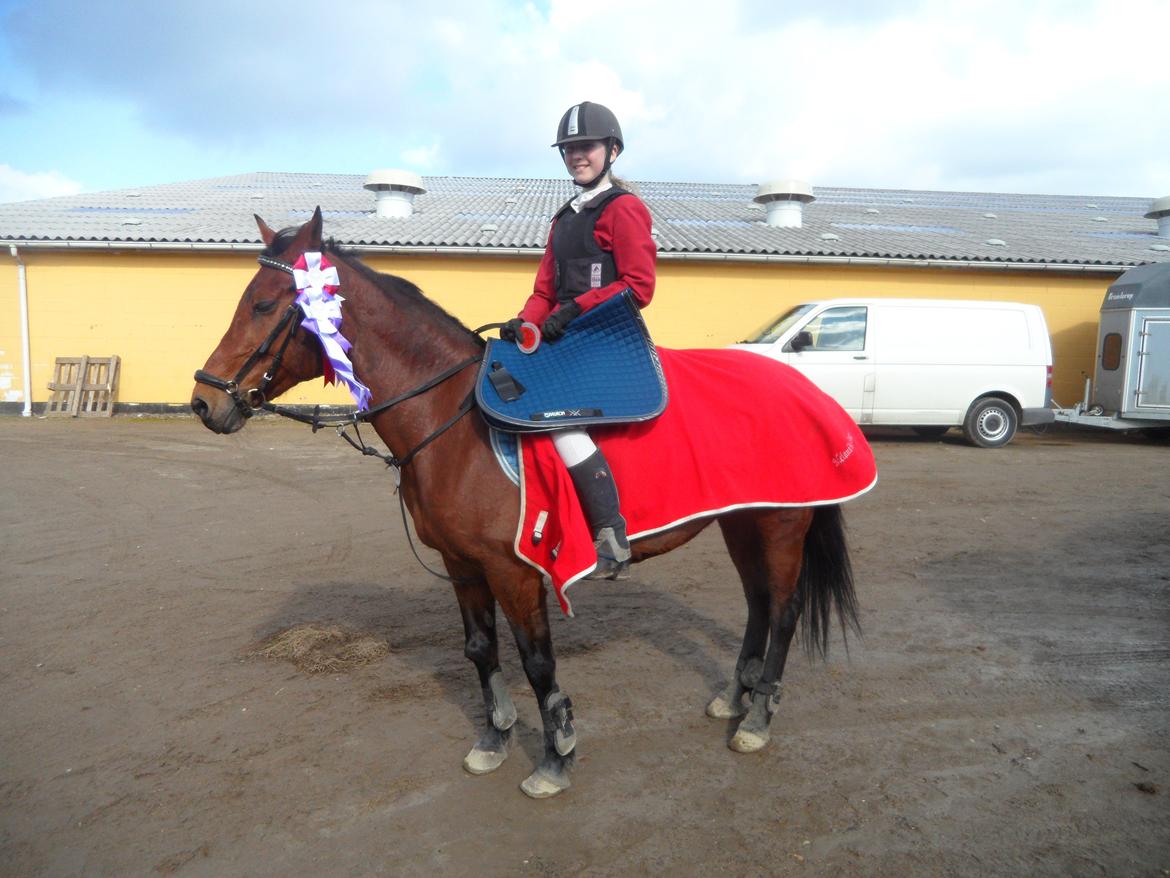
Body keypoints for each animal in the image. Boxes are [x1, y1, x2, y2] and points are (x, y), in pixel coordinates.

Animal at [191, 208, 862, 799]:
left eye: (265, 304)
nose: (204, 401)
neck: (451, 421)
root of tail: (803, 384)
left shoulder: (513, 570)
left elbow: (538, 663)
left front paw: (556, 758)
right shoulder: (463, 565)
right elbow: (480, 650)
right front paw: (494, 740)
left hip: (780, 526)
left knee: (782, 611)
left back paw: (757, 720)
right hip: (742, 524)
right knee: (758, 604)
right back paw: (734, 698)